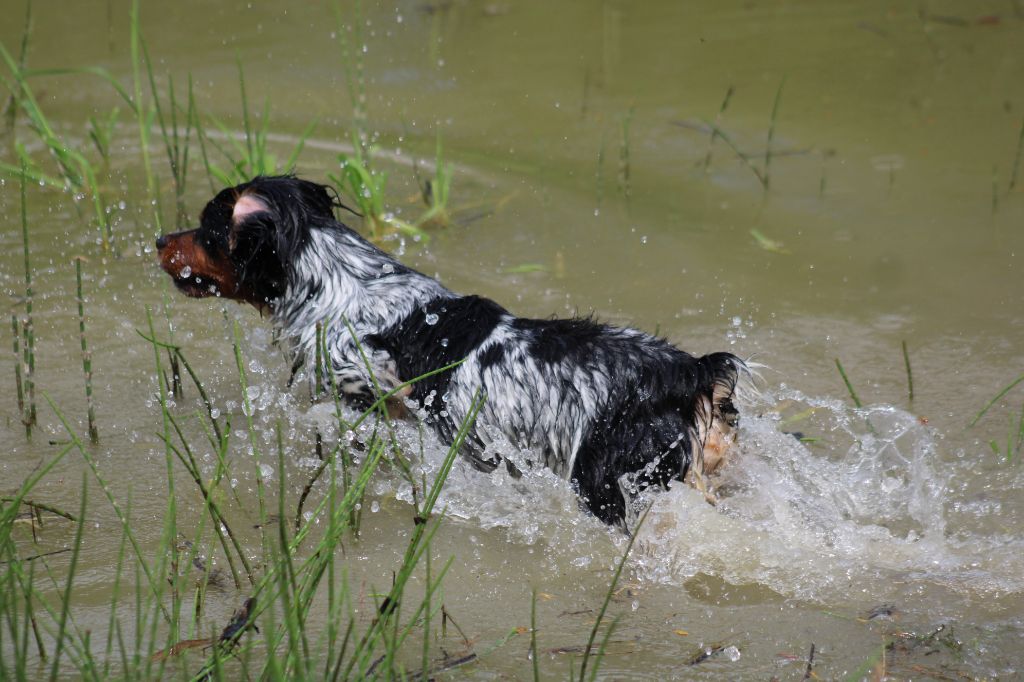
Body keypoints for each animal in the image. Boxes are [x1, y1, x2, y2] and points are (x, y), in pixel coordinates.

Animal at [157, 175, 753, 524]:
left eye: (208, 230)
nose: (161, 239)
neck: (346, 283)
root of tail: (689, 373)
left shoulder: (368, 396)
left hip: (605, 485)